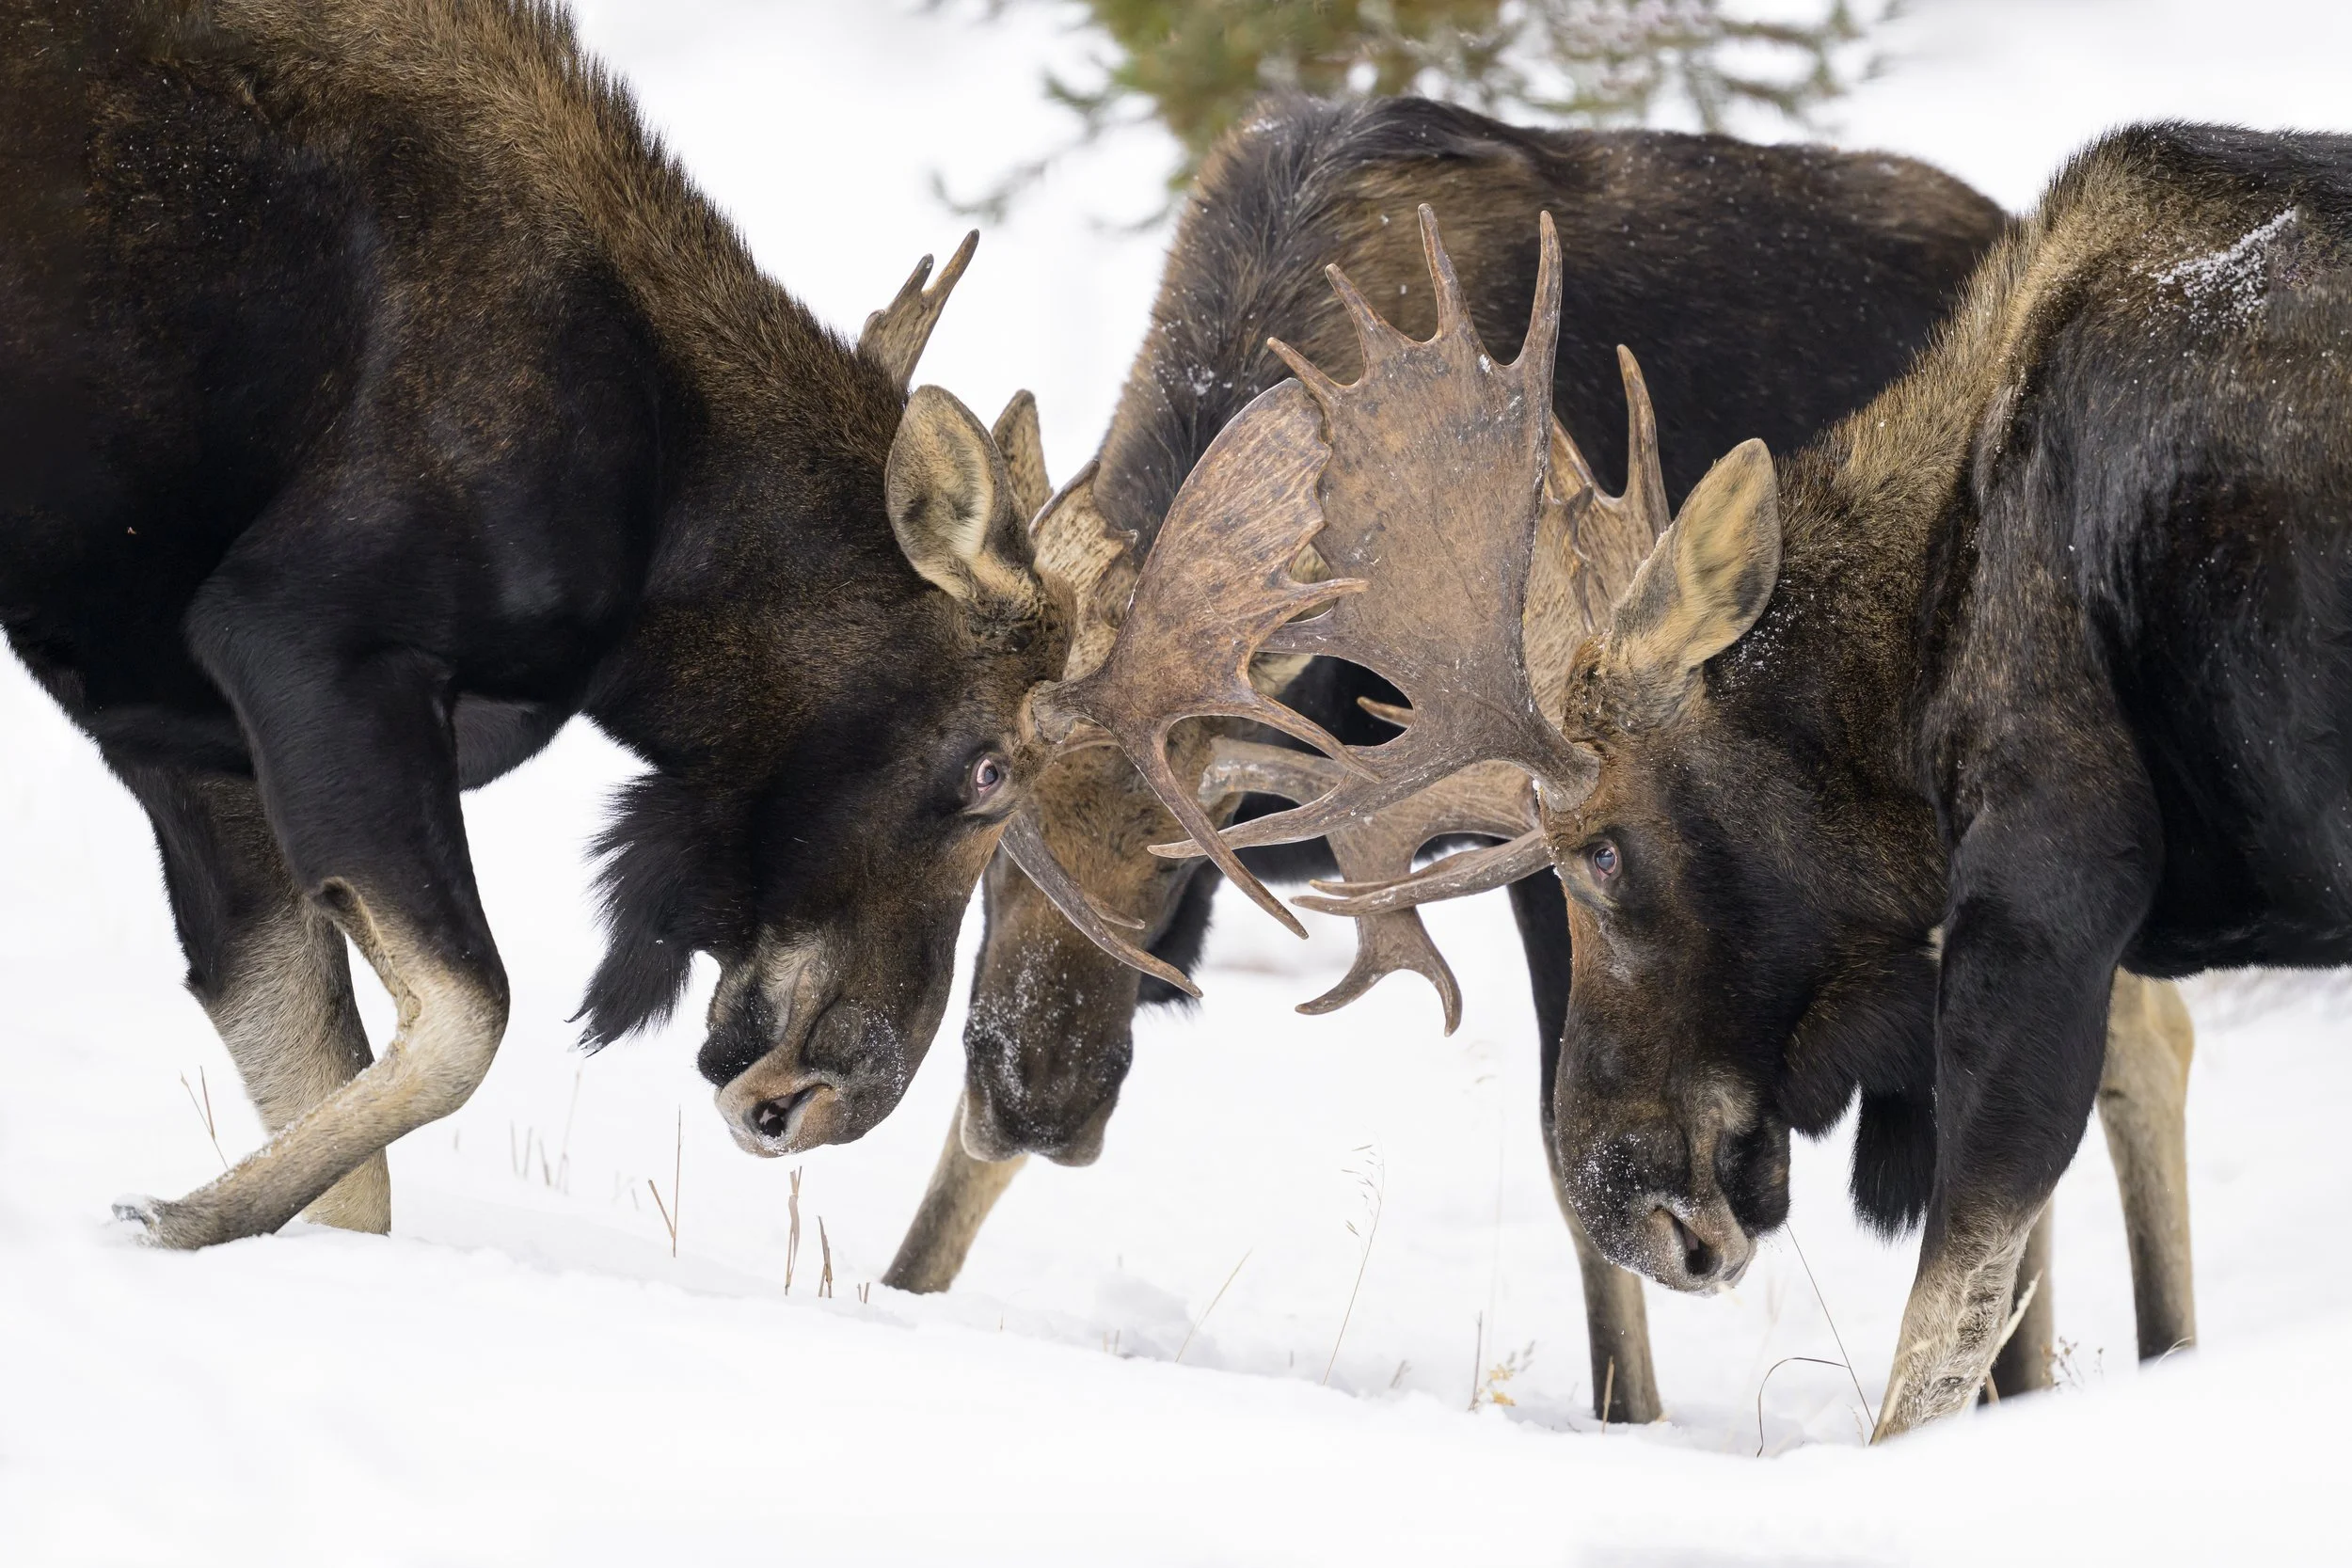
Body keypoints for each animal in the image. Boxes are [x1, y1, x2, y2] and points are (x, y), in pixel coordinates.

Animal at [878, 97, 2191, 1417]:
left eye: (1188, 838)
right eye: (992, 813)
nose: (1035, 1100)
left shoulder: (1554, 840)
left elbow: (1583, 1165)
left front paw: (1629, 1414)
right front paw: (897, 1288)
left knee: (2135, 1044)